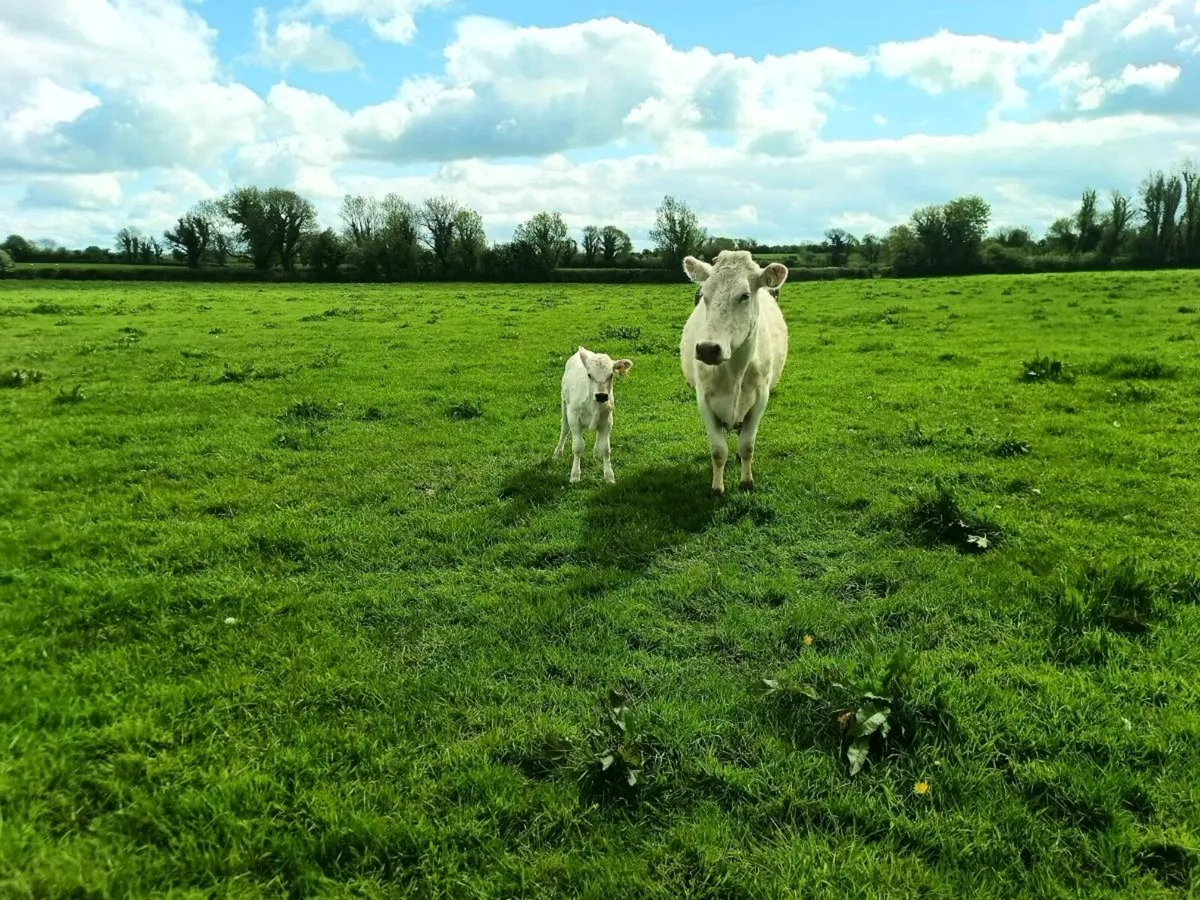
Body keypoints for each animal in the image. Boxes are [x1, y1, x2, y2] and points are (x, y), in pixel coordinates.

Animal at [554, 346, 633, 484]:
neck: (593, 405)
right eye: (589, 375)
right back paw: (558, 452)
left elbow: (606, 448)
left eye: (611, 374)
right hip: (564, 402)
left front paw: (609, 477)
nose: (601, 395)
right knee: (564, 428)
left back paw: (596, 452)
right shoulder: (574, 418)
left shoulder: (607, 419)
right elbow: (578, 447)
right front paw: (575, 475)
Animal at [680, 250, 789, 495]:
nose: (707, 349)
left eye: (744, 296)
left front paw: (747, 482)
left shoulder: (761, 398)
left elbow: (747, 445)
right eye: (704, 294)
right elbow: (718, 450)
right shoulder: (703, 400)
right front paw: (717, 488)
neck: (734, 372)